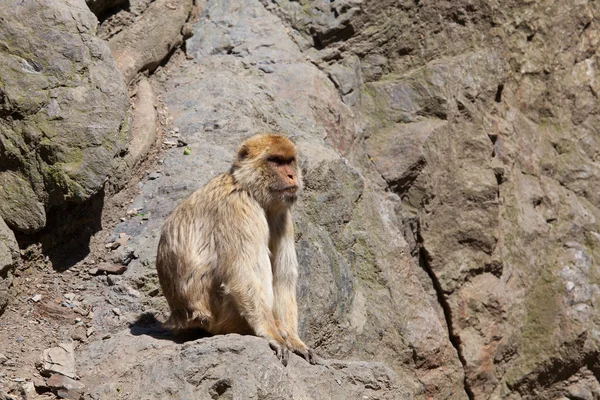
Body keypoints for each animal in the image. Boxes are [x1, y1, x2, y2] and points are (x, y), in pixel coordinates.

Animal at [155, 134, 316, 366]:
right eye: (276, 161)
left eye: (289, 161)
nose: (291, 175)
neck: (249, 189)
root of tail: (179, 317)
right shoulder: (239, 207)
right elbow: (243, 275)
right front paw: (273, 334)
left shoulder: (282, 216)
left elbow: (284, 278)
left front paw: (295, 339)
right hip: (220, 317)